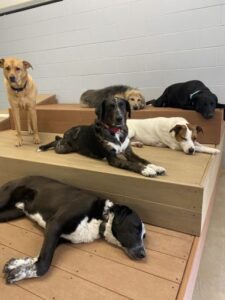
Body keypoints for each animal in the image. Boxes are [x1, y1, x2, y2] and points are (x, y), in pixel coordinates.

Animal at [0, 176, 147, 284]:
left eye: (144, 236)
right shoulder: (55, 225)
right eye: (136, 228)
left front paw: (17, 265)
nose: (143, 254)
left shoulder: (57, 237)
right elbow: (44, 264)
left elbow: (37, 257)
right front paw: (20, 273)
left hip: (11, 213)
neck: (101, 218)